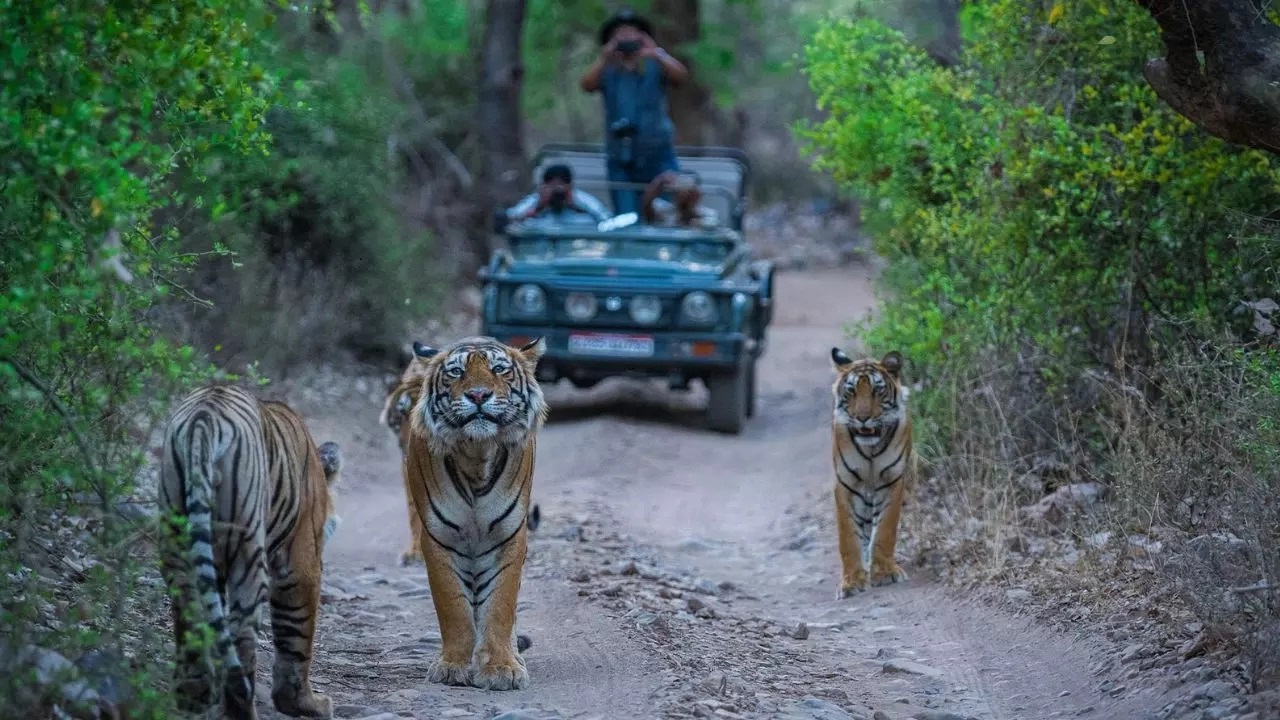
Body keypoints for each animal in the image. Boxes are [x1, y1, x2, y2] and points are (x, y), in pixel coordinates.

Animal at [156, 384, 343, 717]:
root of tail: (204, 418)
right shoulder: (301, 561)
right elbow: (297, 636)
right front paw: (305, 703)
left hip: (178, 543)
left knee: (192, 617)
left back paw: (193, 696)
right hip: (248, 554)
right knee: (241, 638)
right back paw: (241, 709)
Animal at [394, 333, 550, 686]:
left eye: (499, 369)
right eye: (456, 372)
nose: (478, 395)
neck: (477, 454)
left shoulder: (509, 536)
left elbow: (501, 604)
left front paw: (502, 668)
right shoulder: (439, 538)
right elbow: (453, 606)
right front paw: (454, 666)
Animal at [829, 348, 911, 594]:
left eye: (877, 390)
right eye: (851, 391)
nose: (862, 418)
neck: (870, 449)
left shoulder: (892, 481)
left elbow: (885, 529)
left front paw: (884, 573)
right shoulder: (845, 484)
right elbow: (848, 536)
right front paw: (851, 582)